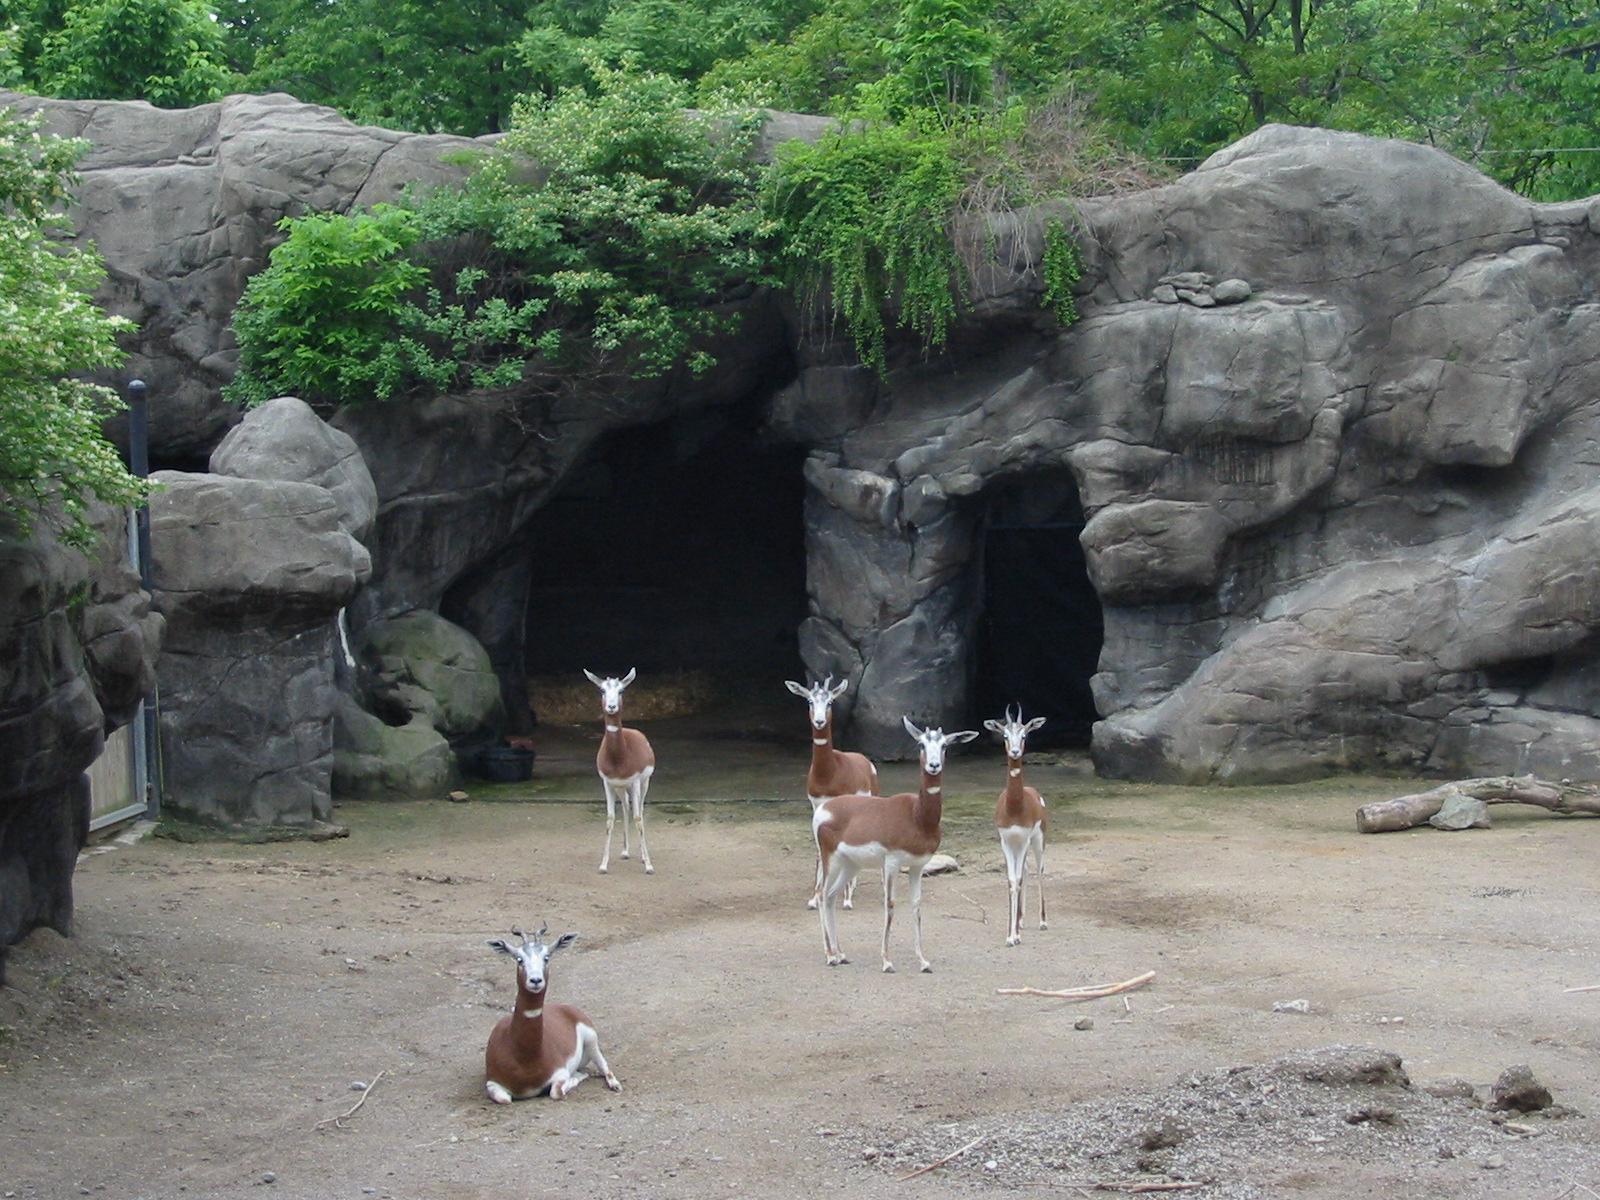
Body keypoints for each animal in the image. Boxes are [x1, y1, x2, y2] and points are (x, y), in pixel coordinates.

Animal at [484, 924, 621, 1103]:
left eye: (546, 957)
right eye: (519, 959)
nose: (536, 980)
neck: (525, 1061)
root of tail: (562, 1007)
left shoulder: (560, 1073)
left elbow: (556, 1092)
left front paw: (576, 1077)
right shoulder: (492, 1083)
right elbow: (505, 1099)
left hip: (592, 1039)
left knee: (604, 1066)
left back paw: (613, 1084)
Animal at [584, 668, 655, 874]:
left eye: (621, 690)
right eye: (602, 690)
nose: (612, 706)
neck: (619, 755)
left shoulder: (636, 781)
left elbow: (638, 818)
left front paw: (648, 865)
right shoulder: (607, 783)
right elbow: (610, 819)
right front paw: (603, 865)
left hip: (642, 784)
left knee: (639, 809)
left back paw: (642, 855)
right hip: (621, 788)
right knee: (625, 808)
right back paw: (625, 851)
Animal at [785, 677, 879, 910]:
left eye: (830, 702)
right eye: (810, 701)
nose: (819, 721)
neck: (829, 772)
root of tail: (863, 760)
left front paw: (844, 897)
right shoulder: (817, 806)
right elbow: (820, 850)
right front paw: (814, 897)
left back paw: (849, 893)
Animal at [813, 716, 978, 973]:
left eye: (944, 745)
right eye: (921, 744)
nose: (933, 766)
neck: (917, 817)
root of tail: (824, 808)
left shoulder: (918, 865)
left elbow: (916, 906)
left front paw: (923, 961)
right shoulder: (891, 863)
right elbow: (890, 904)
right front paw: (887, 961)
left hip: (851, 865)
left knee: (831, 896)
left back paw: (840, 954)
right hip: (831, 859)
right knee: (821, 894)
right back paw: (830, 956)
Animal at [984, 706, 1048, 947]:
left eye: (1024, 735)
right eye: (1004, 735)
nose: (1014, 752)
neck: (1014, 808)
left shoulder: (1024, 839)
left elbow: (1019, 879)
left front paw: (1016, 936)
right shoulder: (1006, 840)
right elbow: (1012, 880)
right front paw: (1010, 935)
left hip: (1037, 840)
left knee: (1039, 870)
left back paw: (1042, 922)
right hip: (1021, 844)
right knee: (1027, 871)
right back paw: (1020, 921)